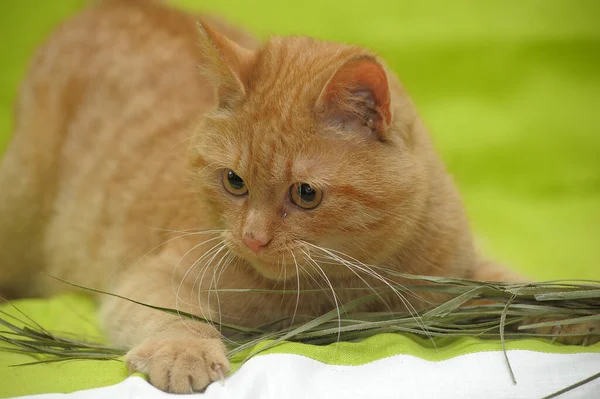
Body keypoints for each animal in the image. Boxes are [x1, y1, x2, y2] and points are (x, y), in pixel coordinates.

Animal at [0, 0, 592, 394]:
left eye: (305, 193)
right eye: (234, 182)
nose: (252, 239)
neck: (344, 284)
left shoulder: (458, 271)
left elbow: (515, 289)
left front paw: (574, 313)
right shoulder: (151, 278)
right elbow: (173, 316)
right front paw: (185, 351)